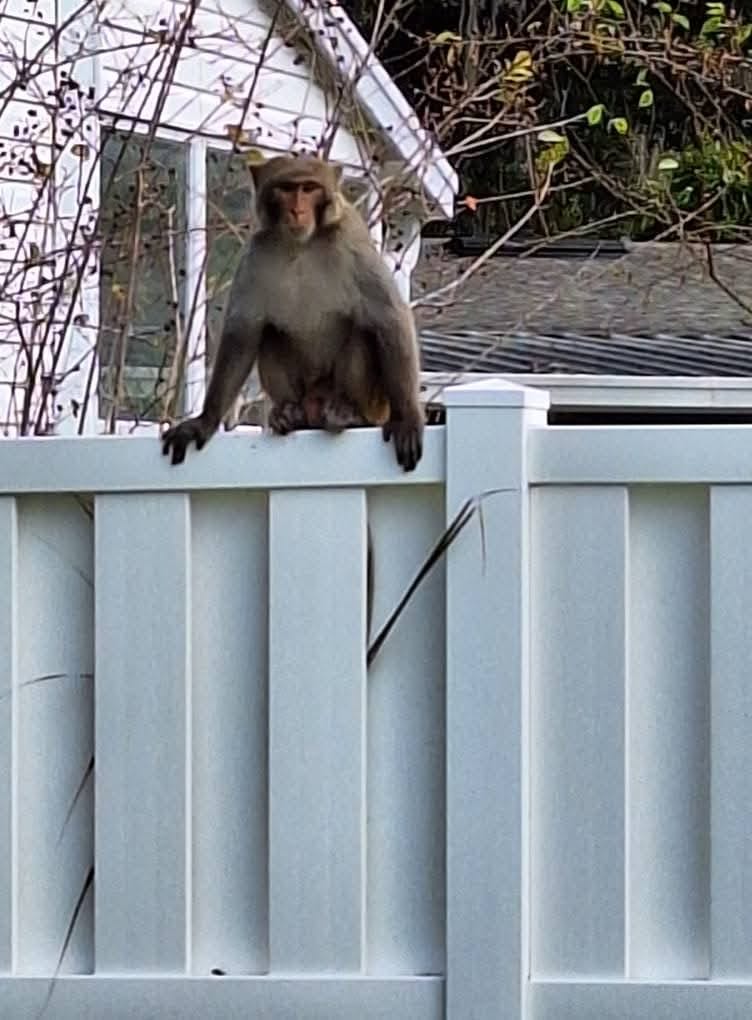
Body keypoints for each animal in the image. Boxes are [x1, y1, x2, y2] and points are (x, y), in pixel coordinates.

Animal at [161, 153, 424, 472]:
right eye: (286, 189)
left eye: (309, 188)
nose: (297, 210)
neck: (302, 243)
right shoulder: (257, 251)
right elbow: (243, 333)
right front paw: (204, 421)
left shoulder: (351, 241)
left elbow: (389, 319)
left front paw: (408, 418)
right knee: (269, 334)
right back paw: (289, 413)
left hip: (373, 402)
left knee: (361, 331)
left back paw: (348, 412)